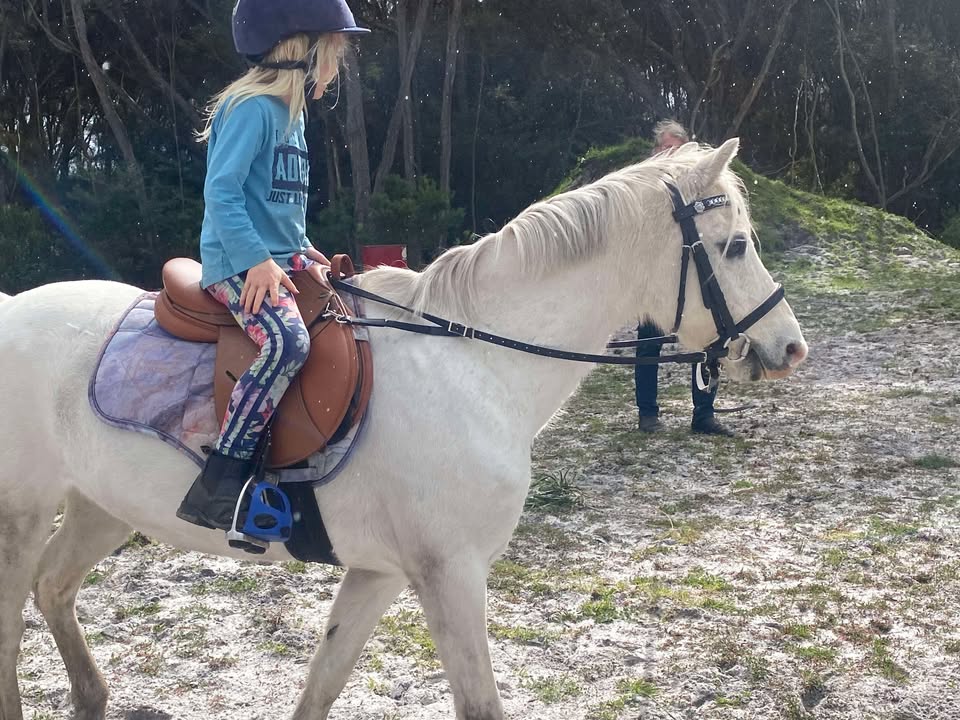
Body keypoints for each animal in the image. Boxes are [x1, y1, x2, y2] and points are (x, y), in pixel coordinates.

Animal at [0, 139, 806, 720]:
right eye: (735, 245)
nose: (790, 348)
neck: (476, 363)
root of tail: (13, 307)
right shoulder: (452, 574)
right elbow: (478, 704)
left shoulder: (381, 572)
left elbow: (322, 684)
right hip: (25, 509)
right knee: (13, 618)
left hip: (104, 506)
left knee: (54, 588)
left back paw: (92, 699)